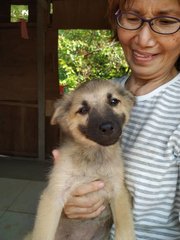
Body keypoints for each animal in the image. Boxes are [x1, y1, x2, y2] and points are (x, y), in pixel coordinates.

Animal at [25, 79, 135, 239]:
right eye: (83, 110)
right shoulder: (54, 194)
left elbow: (125, 231)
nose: (107, 127)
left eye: (114, 101)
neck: (94, 157)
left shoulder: (119, 191)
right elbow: (43, 233)